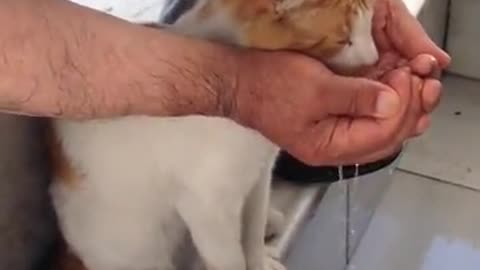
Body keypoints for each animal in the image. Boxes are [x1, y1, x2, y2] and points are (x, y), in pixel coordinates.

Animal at [49, 0, 378, 270]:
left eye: (371, 19)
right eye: (343, 40)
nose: (375, 59)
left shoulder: (260, 174)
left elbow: (252, 232)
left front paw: (259, 258)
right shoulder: (206, 206)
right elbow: (231, 260)